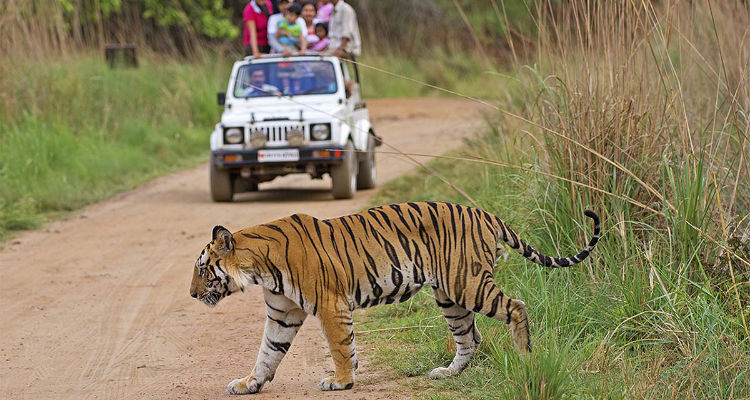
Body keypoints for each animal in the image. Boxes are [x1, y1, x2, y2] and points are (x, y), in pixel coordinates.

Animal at [191, 200, 604, 394]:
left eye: (203, 269)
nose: (192, 294)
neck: (259, 267)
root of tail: (485, 213)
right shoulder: (282, 314)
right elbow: (267, 353)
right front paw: (249, 384)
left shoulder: (330, 305)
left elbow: (340, 346)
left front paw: (341, 381)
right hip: (449, 295)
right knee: (470, 338)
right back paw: (447, 373)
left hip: (467, 283)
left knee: (516, 308)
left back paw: (525, 359)